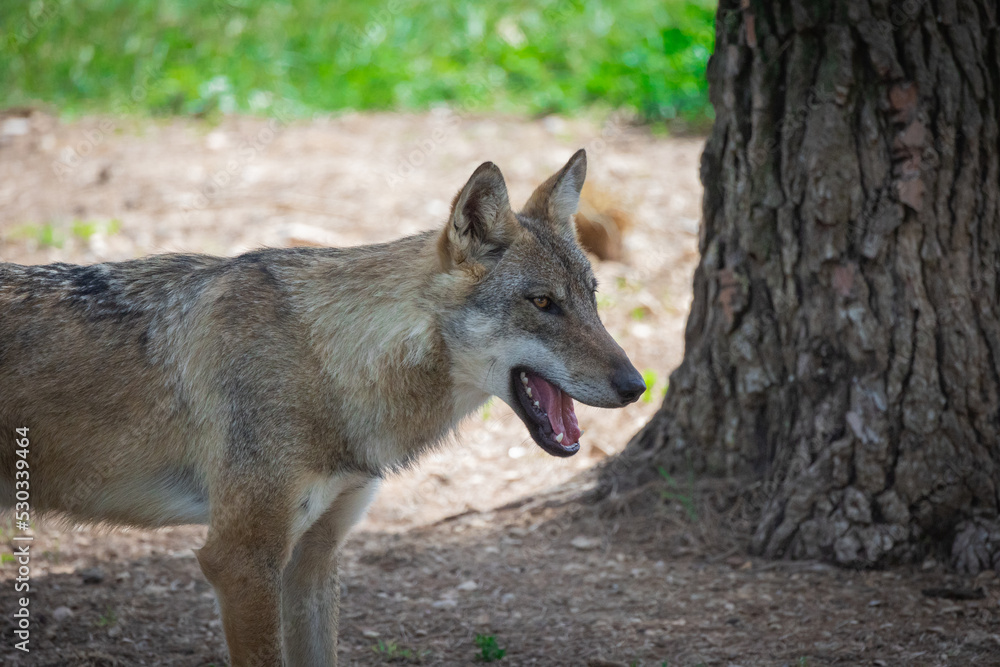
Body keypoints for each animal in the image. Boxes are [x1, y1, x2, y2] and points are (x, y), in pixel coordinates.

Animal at [0, 149, 645, 665]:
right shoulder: (239, 561)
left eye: (592, 298)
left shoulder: (312, 560)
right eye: (543, 303)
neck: (326, 361)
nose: (637, 385)